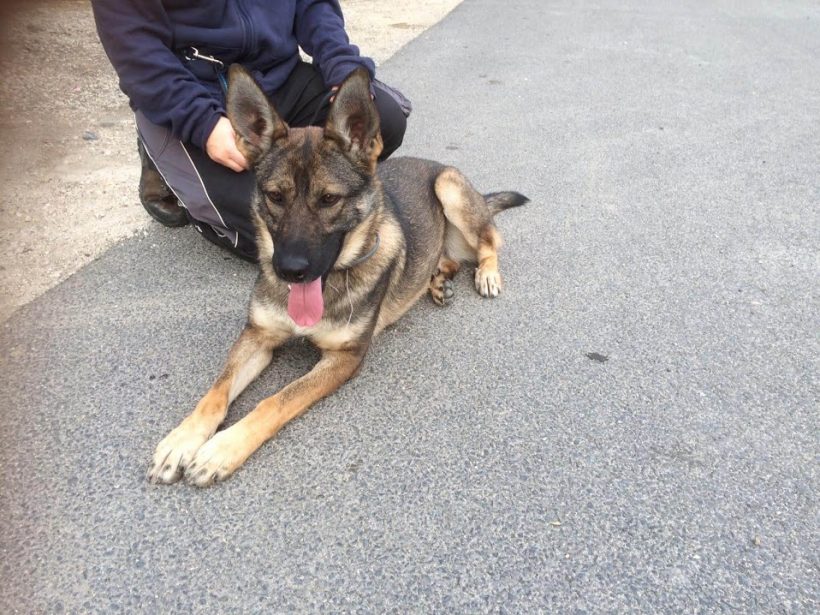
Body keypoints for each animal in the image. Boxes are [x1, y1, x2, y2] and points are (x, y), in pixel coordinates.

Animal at [147, 65, 528, 486]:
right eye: (275, 196)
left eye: (329, 199)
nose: (289, 269)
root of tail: (435, 164)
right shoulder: (257, 336)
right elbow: (217, 390)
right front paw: (182, 439)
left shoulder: (344, 359)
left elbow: (274, 401)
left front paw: (222, 449)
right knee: (449, 260)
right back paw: (437, 281)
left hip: (449, 188)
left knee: (490, 243)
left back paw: (486, 274)